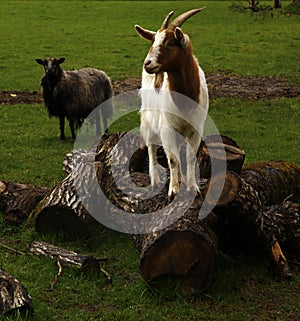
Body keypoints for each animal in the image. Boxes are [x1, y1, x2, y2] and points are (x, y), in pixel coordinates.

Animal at [135, 7, 209, 196]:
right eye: (153, 42)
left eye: (170, 44)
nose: (147, 63)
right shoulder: (166, 127)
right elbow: (172, 158)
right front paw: (173, 190)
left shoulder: (195, 129)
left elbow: (189, 157)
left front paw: (192, 187)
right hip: (148, 120)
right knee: (151, 147)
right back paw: (155, 180)